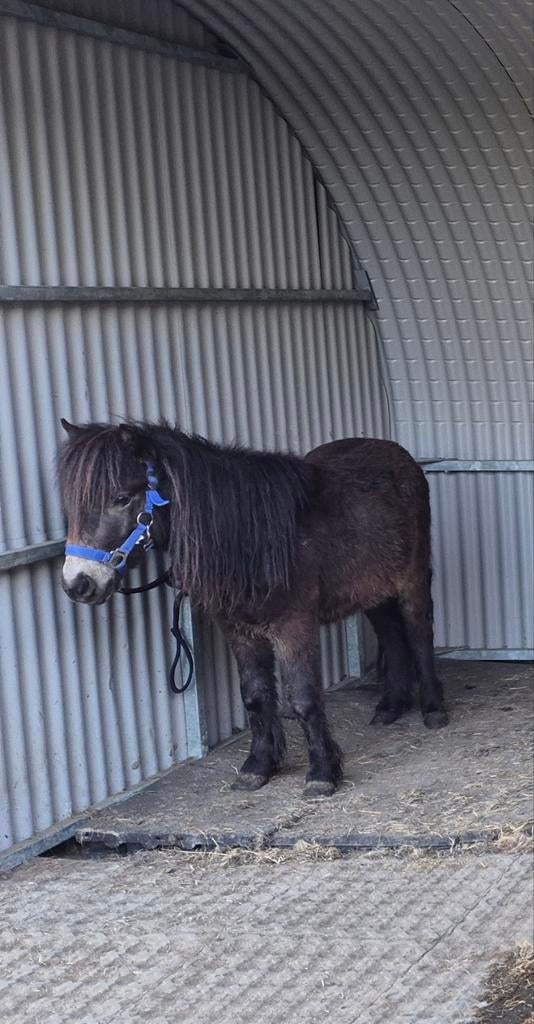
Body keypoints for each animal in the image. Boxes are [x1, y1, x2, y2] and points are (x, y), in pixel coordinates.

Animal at [58, 419, 448, 798]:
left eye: (121, 498)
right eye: (71, 506)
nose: (78, 584)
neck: (250, 537)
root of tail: (398, 454)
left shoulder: (294, 627)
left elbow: (304, 698)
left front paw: (322, 775)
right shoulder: (239, 630)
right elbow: (256, 697)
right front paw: (257, 767)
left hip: (411, 580)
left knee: (418, 633)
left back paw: (434, 710)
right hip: (373, 591)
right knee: (392, 635)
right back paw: (390, 707)